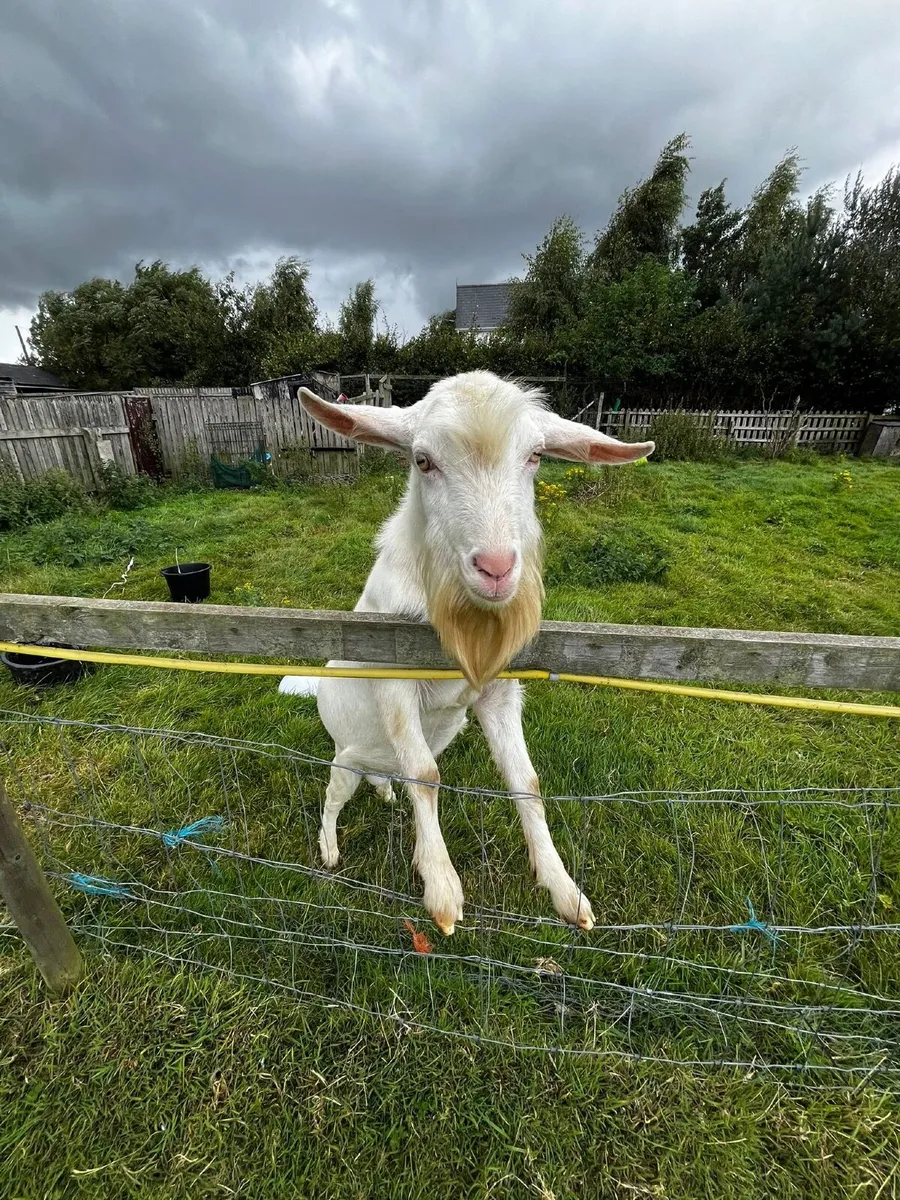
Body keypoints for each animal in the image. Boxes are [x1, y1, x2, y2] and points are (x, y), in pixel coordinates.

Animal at [281, 372, 653, 934]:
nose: (496, 568)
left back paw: (384, 793)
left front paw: (564, 890)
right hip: (346, 757)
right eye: (422, 460)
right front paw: (441, 889)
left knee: (382, 778)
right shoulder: (393, 680)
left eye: (536, 456)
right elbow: (426, 777)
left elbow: (527, 780)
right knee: (333, 795)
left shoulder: (498, 690)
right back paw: (328, 850)